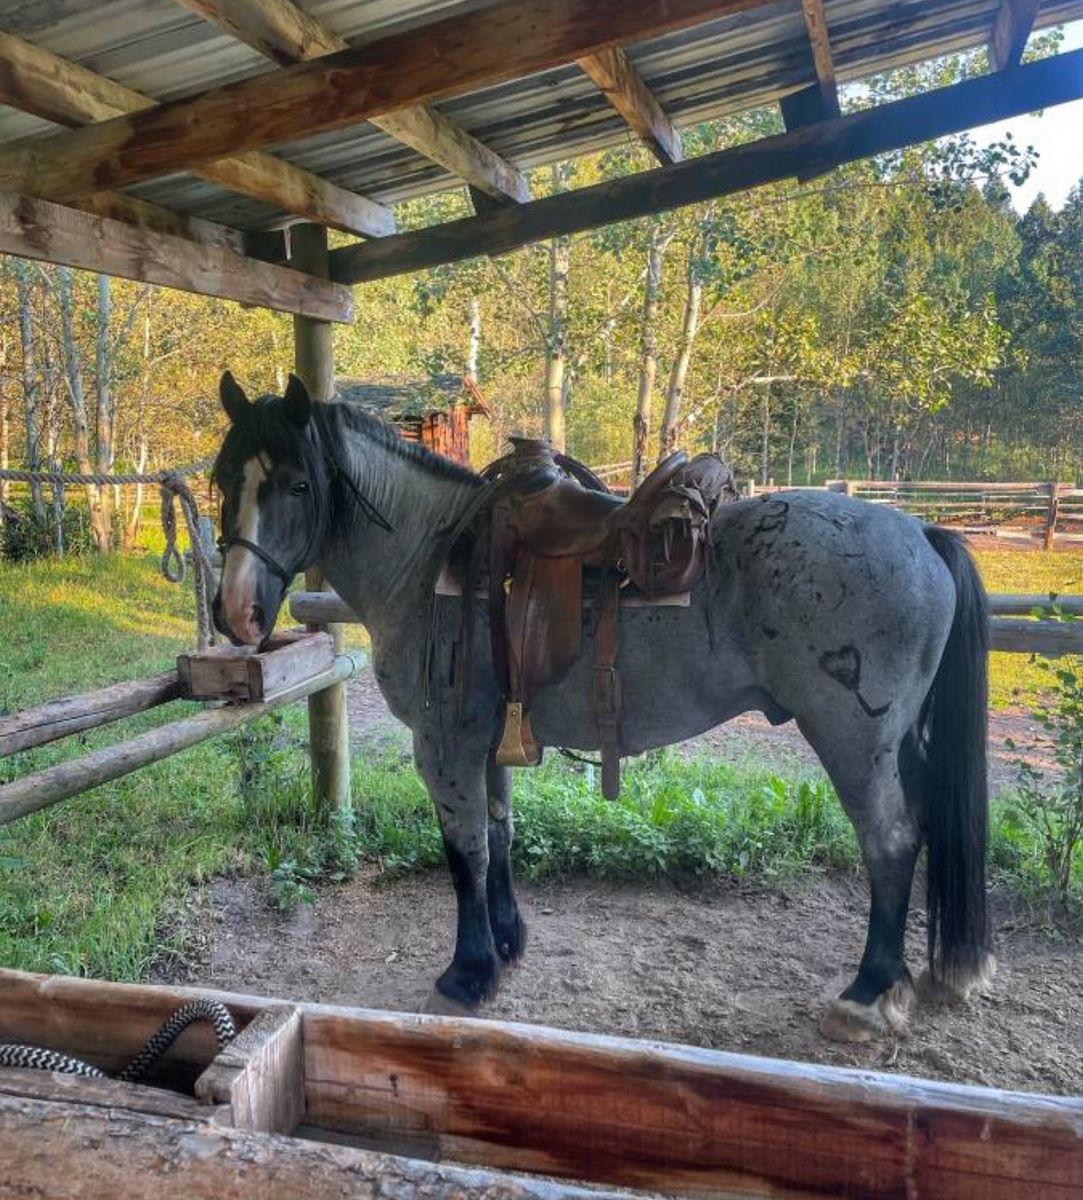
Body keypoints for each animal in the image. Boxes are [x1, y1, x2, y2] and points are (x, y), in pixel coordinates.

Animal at [211, 372, 994, 1042]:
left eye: (298, 483)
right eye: (223, 480)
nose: (237, 614)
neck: (431, 559)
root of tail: (918, 532)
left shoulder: (444, 744)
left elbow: (465, 851)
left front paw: (468, 974)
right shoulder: (489, 739)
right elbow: (500, 835)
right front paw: (507, 944)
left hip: (853, 741)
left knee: (890, 841)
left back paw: (867, 993)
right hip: (894, 744)